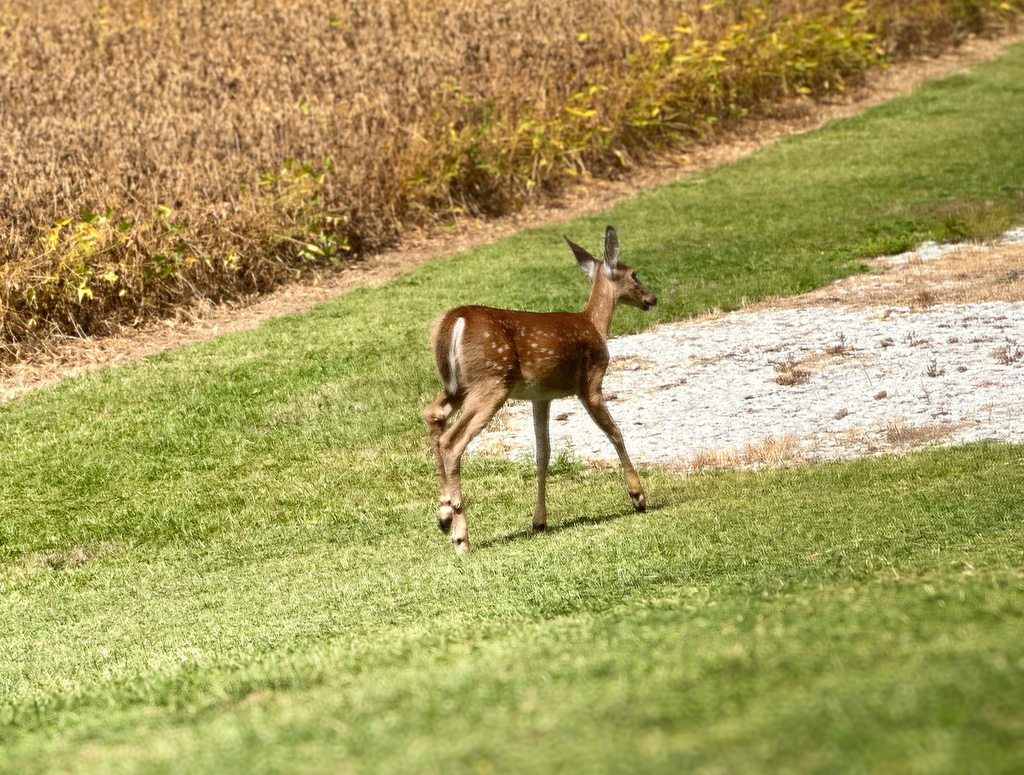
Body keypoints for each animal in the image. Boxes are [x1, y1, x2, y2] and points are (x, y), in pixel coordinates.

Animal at [423, 225, 657, 554]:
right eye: (634, 274)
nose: (652, 298)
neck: (595, 324)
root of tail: (453, 320)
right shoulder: (590, 381)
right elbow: (615, 432)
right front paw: (638, 496)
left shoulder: (541, 396)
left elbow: (542, 453)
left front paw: (539, 521)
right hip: (492, 381)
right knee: (452, 441)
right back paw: (461, 536)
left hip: (459, 386)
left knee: (433, 414)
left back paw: (444, 515)